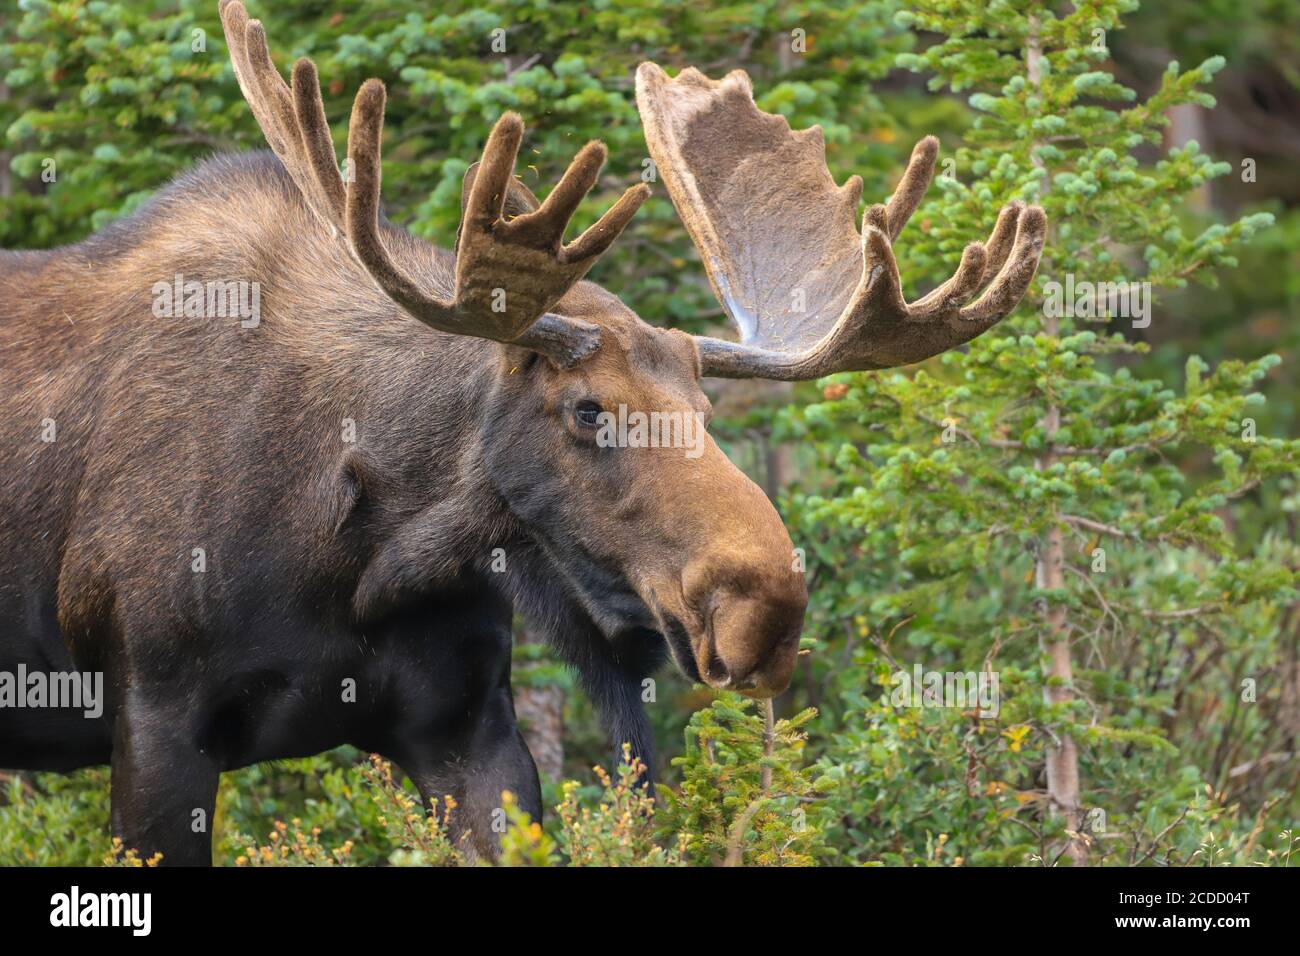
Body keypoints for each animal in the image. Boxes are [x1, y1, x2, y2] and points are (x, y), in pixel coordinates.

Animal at [0, 1, 1040, 868]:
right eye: (587, 408)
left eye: (707, 412)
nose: (768, 609)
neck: (359, 554)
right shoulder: (156, 721)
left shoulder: (468, 731)